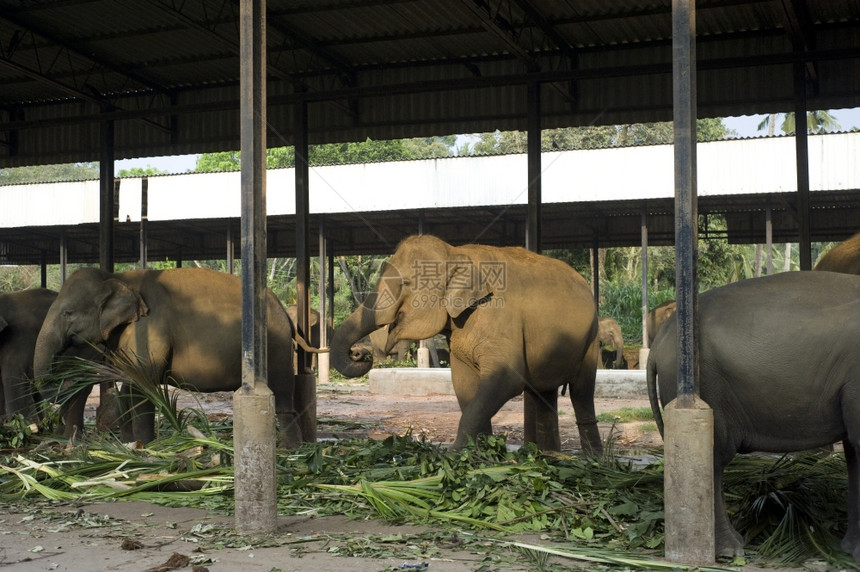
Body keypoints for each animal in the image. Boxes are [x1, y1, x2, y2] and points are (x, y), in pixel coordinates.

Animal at [34, 266, 310, 450]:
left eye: (68, 312)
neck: (118, 278)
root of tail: (283, 310)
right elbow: (128, 389)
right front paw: (128, 445)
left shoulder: (148, 328)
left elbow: (142, 385)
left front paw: (145, 446)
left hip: (275, 346)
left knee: (282, 391)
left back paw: (290, 450)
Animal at [332, 235, 600, 454]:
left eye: (405, 284)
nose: (361, 354)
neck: (455, 252)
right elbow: (463, 382)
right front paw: (481, 452)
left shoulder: (500, 318)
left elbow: (508, 379)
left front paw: (453, 455)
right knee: (543, 395)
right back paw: (548, 456)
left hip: (591, 338)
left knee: (581, 392)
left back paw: (592, 460)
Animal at [648, 272, 860, 560]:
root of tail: (659, 342)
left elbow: (854, 452)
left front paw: (850, 550)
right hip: (710, 386)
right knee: (715, 459)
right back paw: (729, 549)